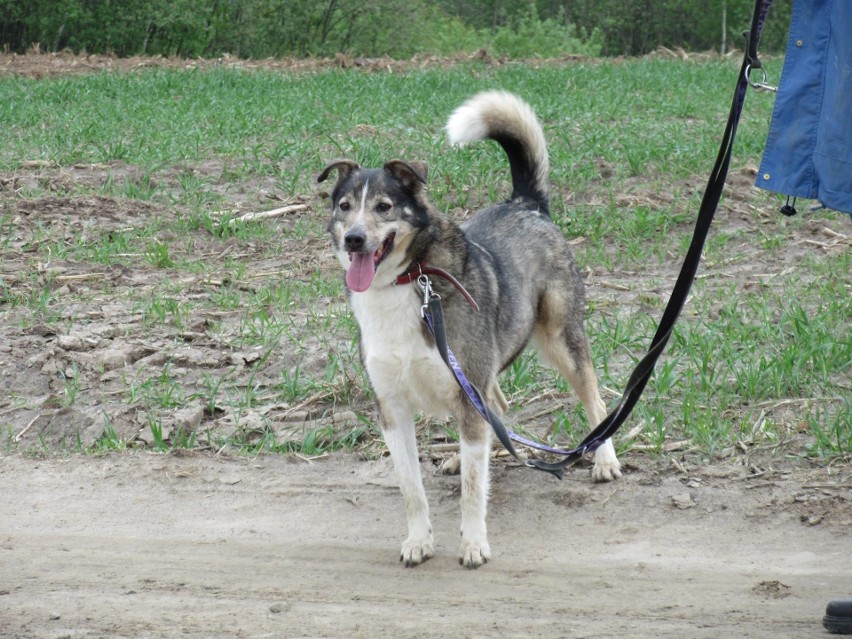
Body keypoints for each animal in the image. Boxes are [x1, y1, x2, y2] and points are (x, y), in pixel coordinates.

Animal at [318, 90, 620, 568]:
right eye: (344, 207)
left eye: (384, 206)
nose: (354, 239)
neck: (407, 281)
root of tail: (525, 204)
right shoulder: (392, 409)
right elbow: (412, 490)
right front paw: (418, 540)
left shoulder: (467, 389)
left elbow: (472, 492)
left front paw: (474, 542)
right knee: (497, 406)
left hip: (560, 338)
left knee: (593, 396)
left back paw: (604, 459)